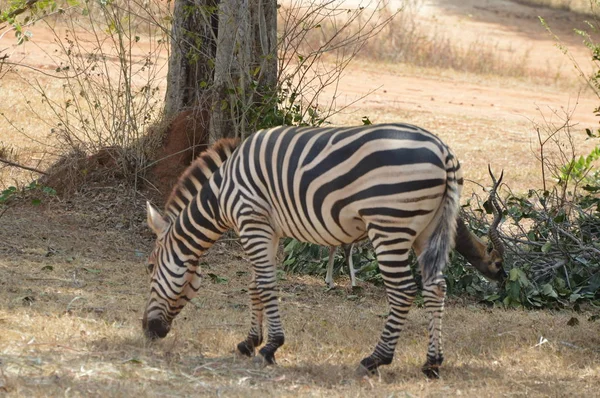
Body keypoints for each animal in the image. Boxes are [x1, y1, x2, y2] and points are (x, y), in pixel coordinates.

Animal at [143, 123, 500, 378]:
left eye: (149, 268)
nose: (148, 331)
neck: (220, 194)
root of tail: (443, 151)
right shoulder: (269, 230)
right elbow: (256, 285)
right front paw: (249, 342)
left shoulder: (251, 220)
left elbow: (266, 285)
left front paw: (270, 347)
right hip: (428, 229)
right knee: (435, 288)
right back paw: (432, 363)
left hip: (389, 226)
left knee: (403, 291)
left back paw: (375, 359)